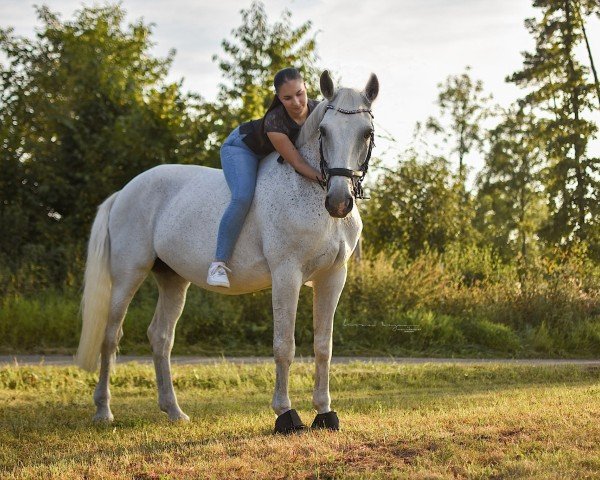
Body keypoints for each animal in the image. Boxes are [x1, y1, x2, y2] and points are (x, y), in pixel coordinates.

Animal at [74, 69, 376, 434]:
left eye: (366, 133)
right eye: (324, 131)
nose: (340, 201)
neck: (310, 192)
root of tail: (124, 191)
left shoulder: (332, 277)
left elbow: (323, 347)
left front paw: (324, 413)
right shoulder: (286, 275)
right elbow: (284, 346)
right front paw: (285, 414)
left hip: (172, 280)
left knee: (161, 337)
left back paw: (173, 411)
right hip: (127, 276)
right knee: (110, 336)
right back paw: (103, 411)